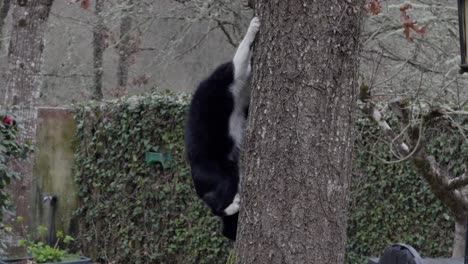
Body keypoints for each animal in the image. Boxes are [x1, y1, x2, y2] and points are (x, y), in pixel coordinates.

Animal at [185, 17, 260, 241]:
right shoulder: (232, 74)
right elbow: (241, 54)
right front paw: (253, 26)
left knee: (224, 226)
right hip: (224, 173)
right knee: (217, 206)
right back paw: (232, 206)